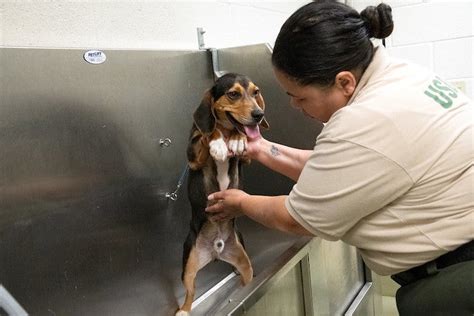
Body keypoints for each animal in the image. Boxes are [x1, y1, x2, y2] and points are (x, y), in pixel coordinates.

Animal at [176, 73, 268, 314]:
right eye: (233, 94)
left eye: (256, 92)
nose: (259, 115)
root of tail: (216, 250)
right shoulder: (193, 156)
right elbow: (209, 132)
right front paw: (217, 143)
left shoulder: (247, 157)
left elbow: (239, 135)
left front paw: (236, 139)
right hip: (189, 264)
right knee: (190, 292)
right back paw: (183, 310)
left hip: (243, 259)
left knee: (247, 277)